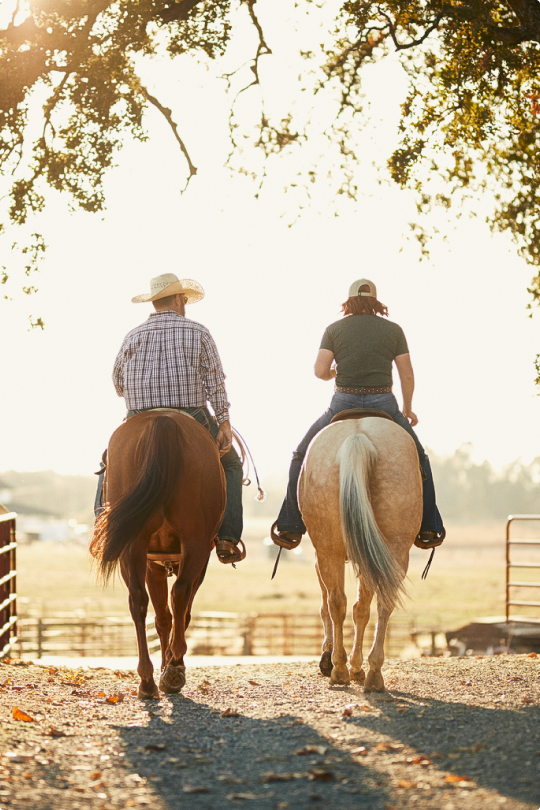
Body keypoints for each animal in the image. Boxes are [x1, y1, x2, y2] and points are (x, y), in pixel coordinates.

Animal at [89, 410, 225, 696]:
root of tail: (163, 419)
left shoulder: (153, 562)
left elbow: (163, 617)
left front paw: (164, 666)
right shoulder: (184, 563)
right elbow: (175, 615)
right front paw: (170, 664)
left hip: (135, 545)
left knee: (139, 600)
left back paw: (148, 679)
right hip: (194, 543)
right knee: (179, 596)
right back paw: (172, 668)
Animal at [300, 414, 422, 692]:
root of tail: (357, 438)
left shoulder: (321, 557)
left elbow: (329, 606)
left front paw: (332, 658)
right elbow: (360, 609)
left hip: (331, 550)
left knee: (338, 603)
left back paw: (342, 669)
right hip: (393, 552)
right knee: (376, 603)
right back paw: (369, 672)